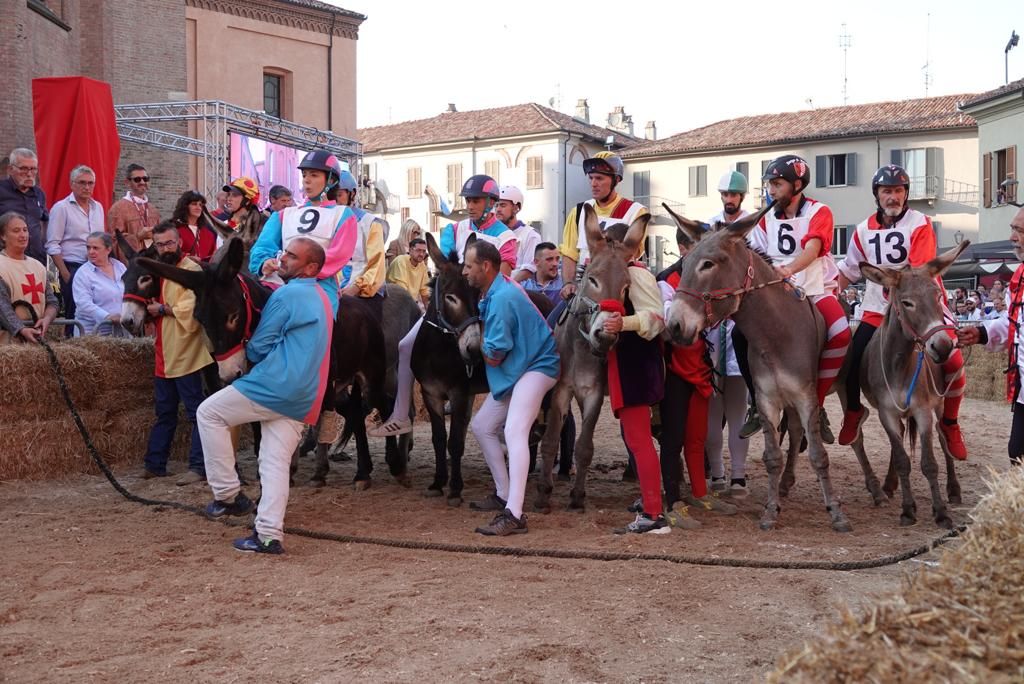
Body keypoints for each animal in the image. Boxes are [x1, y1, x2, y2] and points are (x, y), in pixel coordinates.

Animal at [532, 205, 651, 514]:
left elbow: (585, 446)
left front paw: (577, 496)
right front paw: (543, 493)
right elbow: (550, 439)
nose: (606, 335)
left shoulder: (594, 393)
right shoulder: (561, 390)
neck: (582, 347)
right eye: (593, 279)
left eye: (626, 287)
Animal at [665, 203, 853, 532]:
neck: (777, 332)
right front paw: (770, 510)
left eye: (709, 264)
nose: (675, 325)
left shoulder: (806, 397)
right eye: (684, 265)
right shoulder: (767, 398)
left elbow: (818, 455)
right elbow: (772, 456)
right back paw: (786, 483)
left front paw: (836, 513)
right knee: (794, 432)